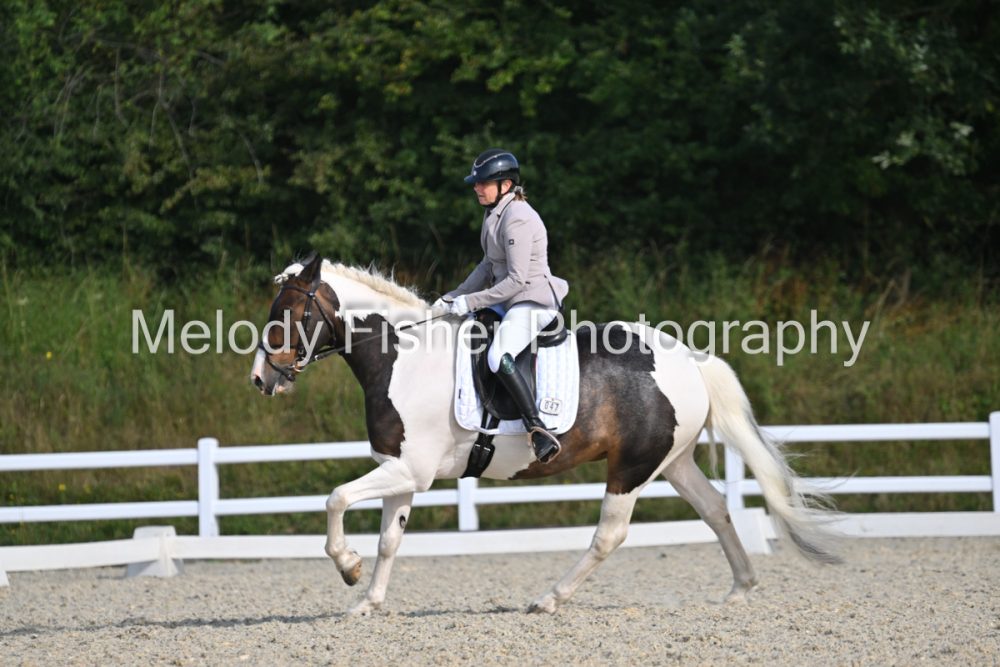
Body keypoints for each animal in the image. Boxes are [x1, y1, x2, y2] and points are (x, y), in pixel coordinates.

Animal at [249, 254, 840, 615]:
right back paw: (740, 588)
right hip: (672, 461)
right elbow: (389, 539)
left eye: (288, 311)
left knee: (610, 534)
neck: (403, 356)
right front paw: (366, 602)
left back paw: (549, 599)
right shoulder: (402, 472)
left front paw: (348, 569)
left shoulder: (408, 470)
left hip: (631, 468)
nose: (262, 379)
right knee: (715, 510)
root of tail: (691, 360)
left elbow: (335, 498)